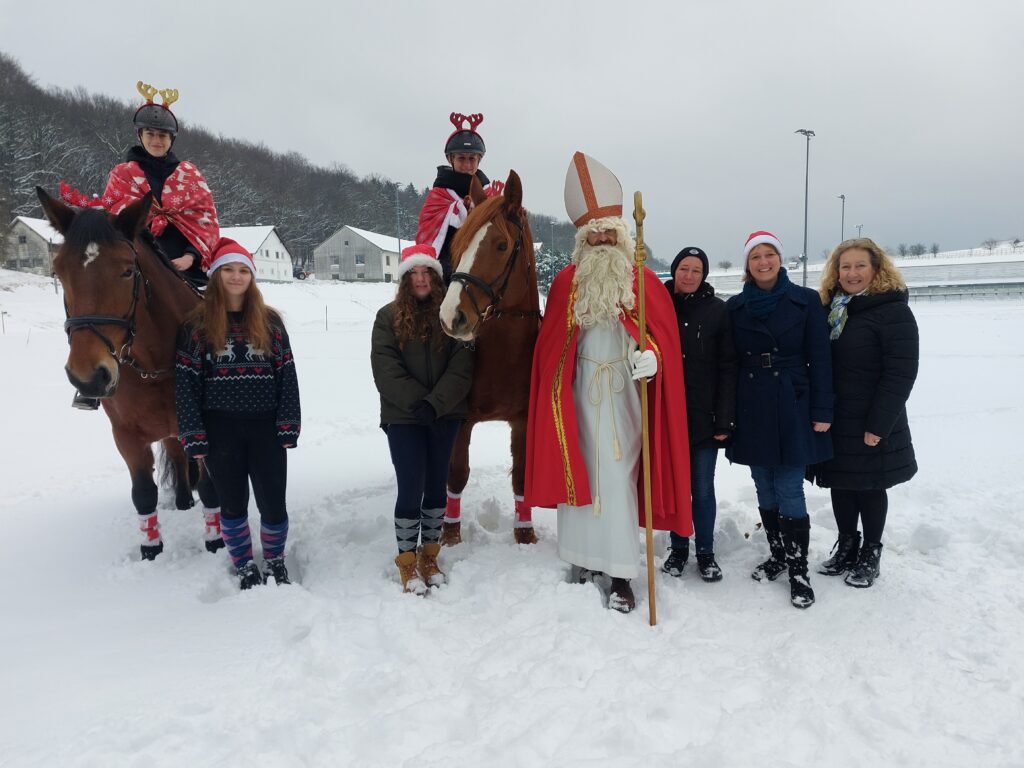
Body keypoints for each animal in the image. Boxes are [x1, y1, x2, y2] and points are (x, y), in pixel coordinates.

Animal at [36, 186, 220, 561]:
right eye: (60, 271)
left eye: (126, 271)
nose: (88, 376)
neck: (155, 363)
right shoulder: (126, 437)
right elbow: (144, 494)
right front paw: (151, 553)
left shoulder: (200, 427)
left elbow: (210, 487)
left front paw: (216, 545)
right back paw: (182, 503)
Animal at [440, 173, 544, 548]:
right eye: (459, 245)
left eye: (501, 245)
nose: (451, 317)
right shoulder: (460, 419)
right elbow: (456, 474)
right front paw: (450, 534)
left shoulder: (523, 420)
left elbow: (522, 478)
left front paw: (524, 533)